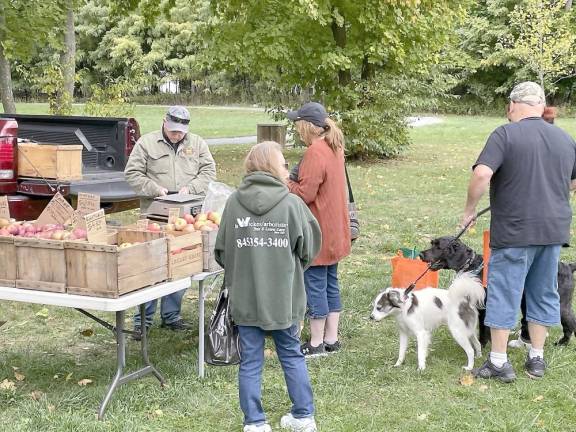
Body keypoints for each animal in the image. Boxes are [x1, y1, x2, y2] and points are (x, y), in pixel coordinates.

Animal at [418, 236, 576, 348]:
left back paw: (562, 343)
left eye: (438, 246)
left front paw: (481, 346)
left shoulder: (485, 308)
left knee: (570, 324)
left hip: (561, 305)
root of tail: (568, 266)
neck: (473, 267)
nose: (420, 254)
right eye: (432, 243)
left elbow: (483, 330)